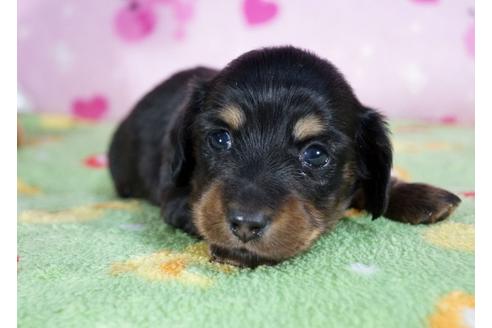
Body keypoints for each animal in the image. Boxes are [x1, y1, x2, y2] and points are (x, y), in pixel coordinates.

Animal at [108, 45, 462, 266]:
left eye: (315, 154)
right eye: (220, 139)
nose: (246, 225)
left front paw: (419, 196)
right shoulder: (175, 200)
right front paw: (231, 249)